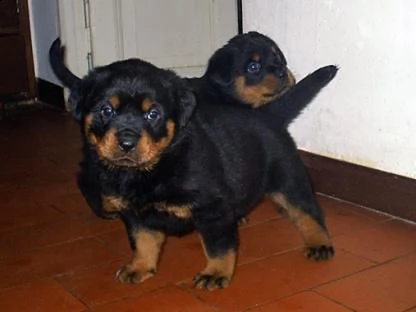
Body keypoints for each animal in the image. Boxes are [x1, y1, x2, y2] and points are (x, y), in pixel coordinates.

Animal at [49, 39, 334, 290]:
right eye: (106, 110)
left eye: (153, 114)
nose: (127, 142)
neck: (152, 169)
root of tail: (267, 113)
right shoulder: (136, 215)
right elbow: (143, 242)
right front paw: (140, 267)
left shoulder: (212, 209)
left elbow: (218, 246)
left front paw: (215, 273)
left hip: (289, 178)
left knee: (307, 212)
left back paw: (319, 243)